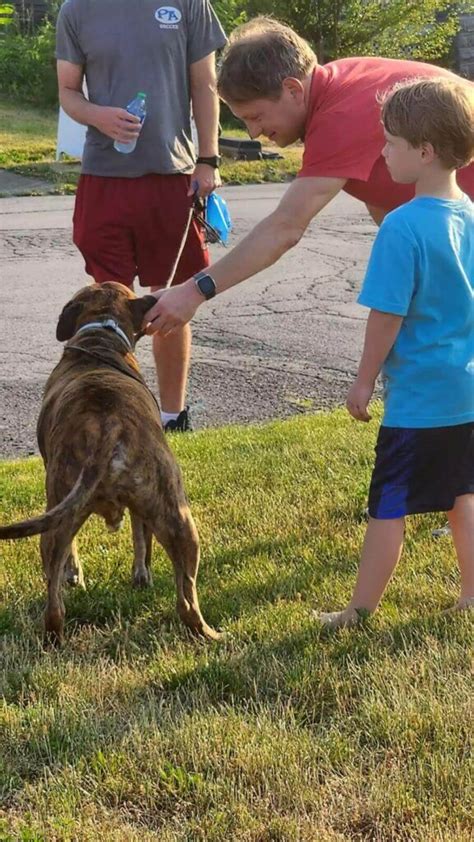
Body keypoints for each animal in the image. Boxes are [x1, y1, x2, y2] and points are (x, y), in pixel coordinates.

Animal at [0, 282, 218, 644]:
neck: (101, 332)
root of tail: (109, 424)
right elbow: (141, 540)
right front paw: (141, 577)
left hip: (60, 514)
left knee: (55, 595)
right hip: (180, 518)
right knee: (187, 600)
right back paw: (212, 633)